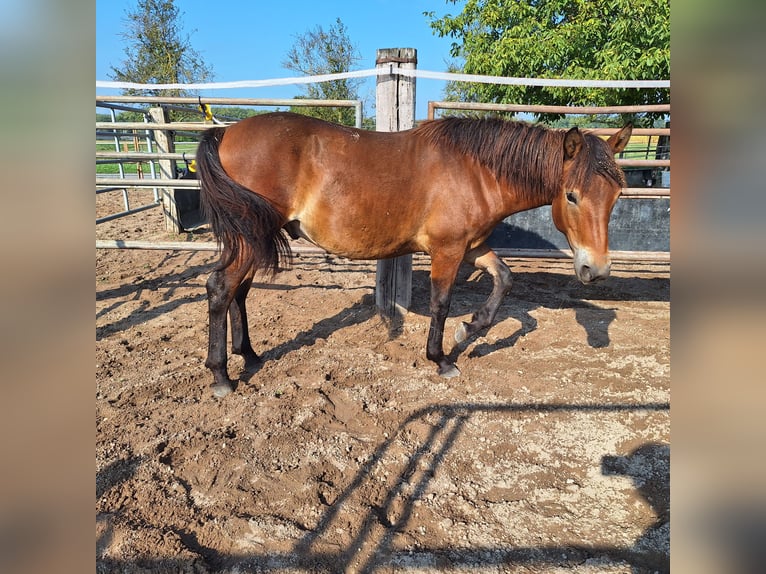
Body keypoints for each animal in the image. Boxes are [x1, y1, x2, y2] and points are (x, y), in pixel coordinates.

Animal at [198, 114, 636, 398]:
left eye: (617, 195)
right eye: (572, 196)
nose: (596, 270)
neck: (475, 171)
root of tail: (226, 131)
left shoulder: (473, 247)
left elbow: (505, 279)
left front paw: (469, 329)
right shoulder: (448, 250)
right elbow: (442, 303)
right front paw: (441, 359)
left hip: (252, 240)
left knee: (238, 293)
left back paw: (249, 355)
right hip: (248, 240)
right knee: (220, 288)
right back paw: (221, 376)